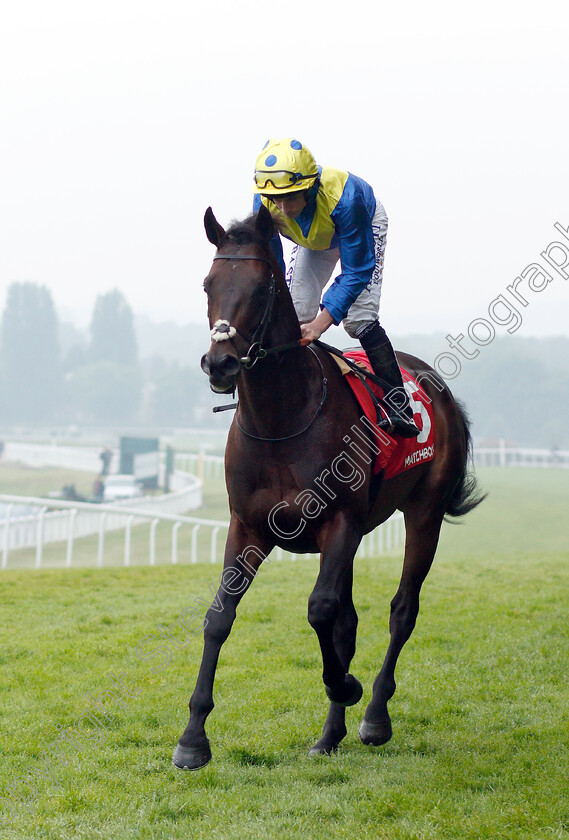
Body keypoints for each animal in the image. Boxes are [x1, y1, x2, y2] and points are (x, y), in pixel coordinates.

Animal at [171, 203, 482, 768]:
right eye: (207, 284)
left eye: (261, 287)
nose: (220, 363)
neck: (282, 417)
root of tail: (436, 385)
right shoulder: (248, 525)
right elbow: (221, 616)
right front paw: (192, 738)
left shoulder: (338, 523)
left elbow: (320, 609)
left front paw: (346, 687)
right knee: (349, 620)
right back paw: (330, 734)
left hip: (423, 513)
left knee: (402, 610)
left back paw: (374, 715)